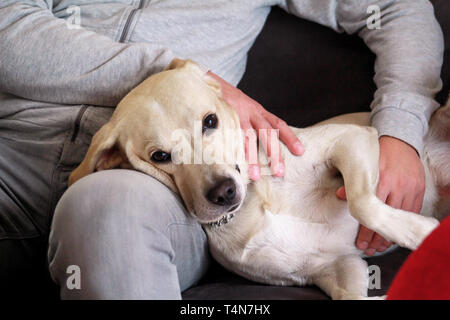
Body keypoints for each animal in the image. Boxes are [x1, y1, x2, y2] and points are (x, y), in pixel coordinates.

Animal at [69, 59, 450, 300]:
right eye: (160, 156)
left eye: (210, 121)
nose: (223, 192)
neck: (255, 203)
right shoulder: (337, 267)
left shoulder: (349, 139)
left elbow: (363, 203)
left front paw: (420, 232)